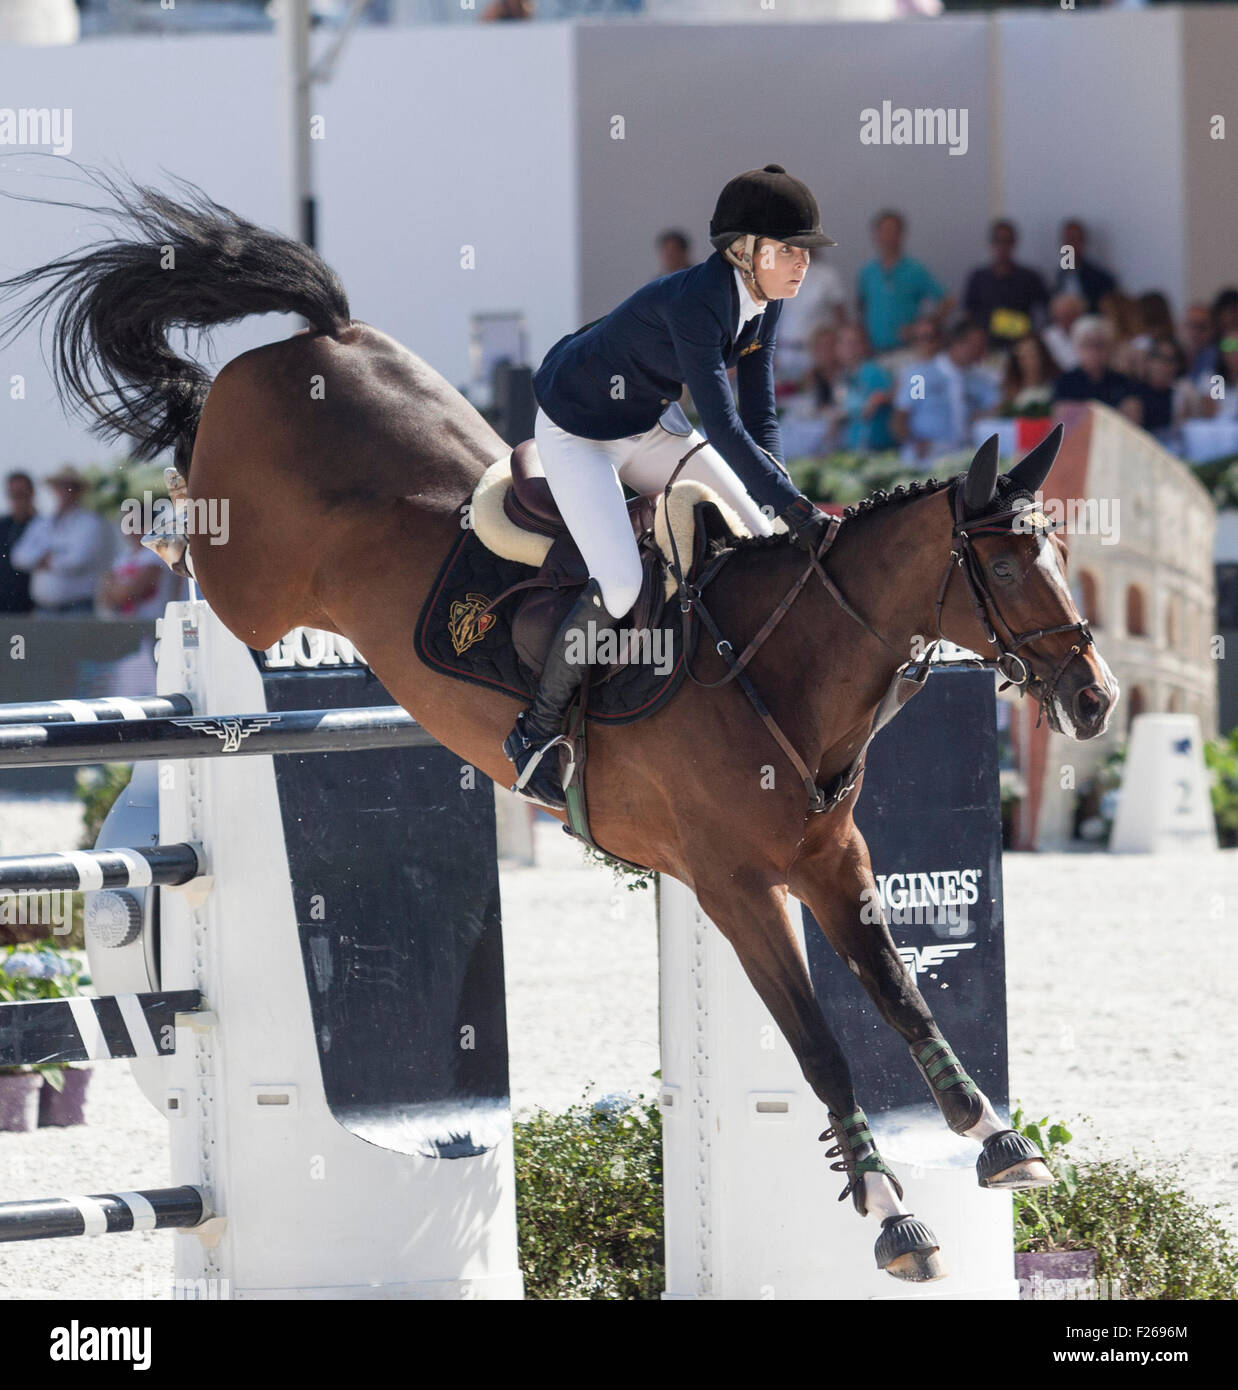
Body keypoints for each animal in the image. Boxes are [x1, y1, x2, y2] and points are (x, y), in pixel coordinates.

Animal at [0, 179, 1117, 1284]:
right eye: (1006, 564)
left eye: (1061, 552)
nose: (1096, 700)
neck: (778, 666)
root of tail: (327, 335)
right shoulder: (736, 887)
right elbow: (818, 1047)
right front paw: (891, 1216)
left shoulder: (833, 859)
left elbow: (901, 998)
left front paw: (997, 1142)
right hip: (250, 579)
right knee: (193, 486)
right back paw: (153, 483)